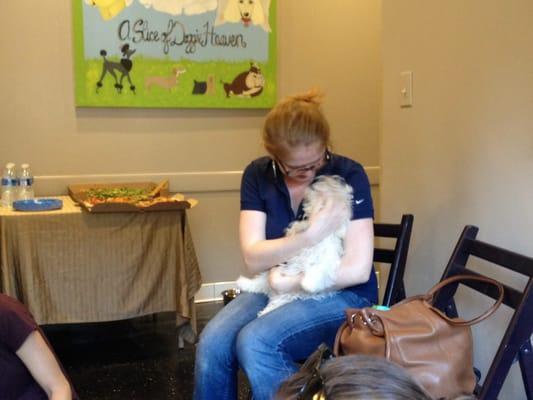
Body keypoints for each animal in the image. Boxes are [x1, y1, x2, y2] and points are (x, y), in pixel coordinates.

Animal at [237, 175, 354, 316]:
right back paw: (243, 283)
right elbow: (298, 226)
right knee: (258, 283)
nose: (325, 179)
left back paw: (263, 311)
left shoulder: (328, 259)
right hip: (269, 275)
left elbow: (319, 269)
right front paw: (303, 227)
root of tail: (274, 295)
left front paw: (308, 283)